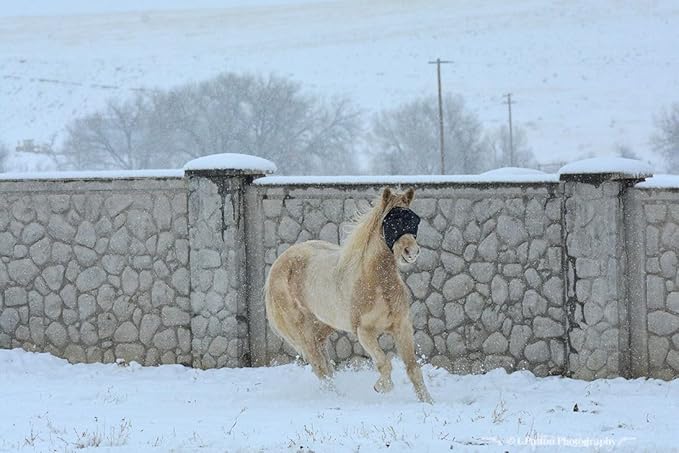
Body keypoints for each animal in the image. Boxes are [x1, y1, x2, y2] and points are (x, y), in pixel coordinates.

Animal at [264, 187, 433, 403]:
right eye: (391, 221)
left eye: (414, 219)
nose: (411, 252)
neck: (376, 283)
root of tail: (278, 265)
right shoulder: (364, 332)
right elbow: (384, 363)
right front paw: (380, 387)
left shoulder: (401, 327)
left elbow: (413, 369)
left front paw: (428, 402)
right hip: (303, 330)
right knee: (319, 366)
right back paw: (334, 398)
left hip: (323, 327)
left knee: (325, 364)